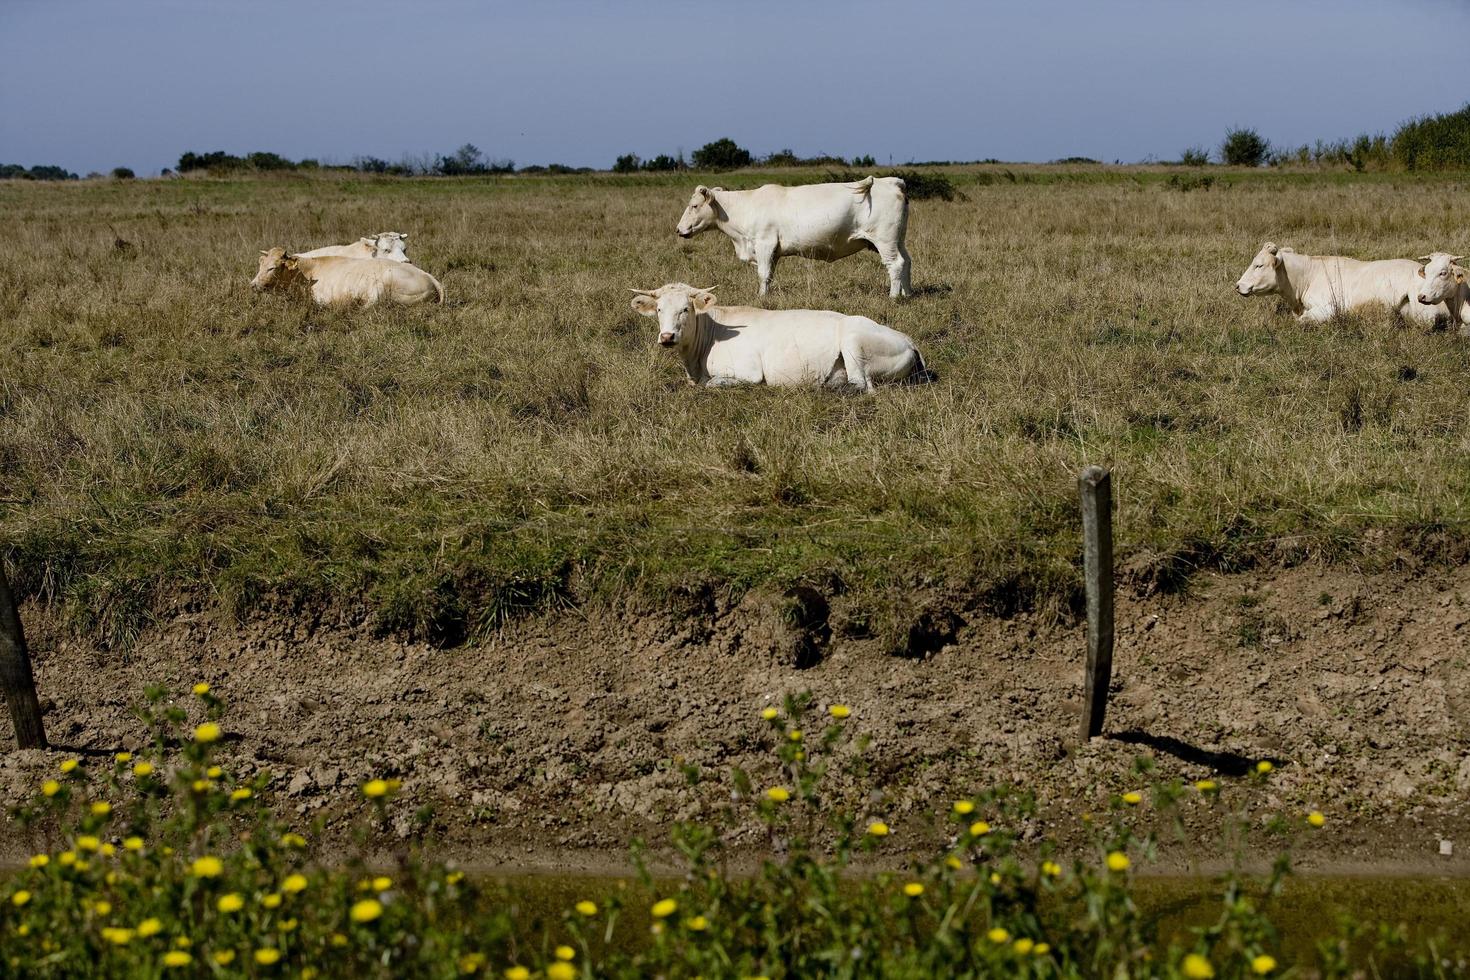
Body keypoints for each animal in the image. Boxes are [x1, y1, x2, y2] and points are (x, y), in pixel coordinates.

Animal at [629, 279, 929, 390]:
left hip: (853, 341)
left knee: (861, 385)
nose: (667, 337)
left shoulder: (748, 371)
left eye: (685, 309)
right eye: (659, 309)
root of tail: (909, 340)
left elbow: (713, 383)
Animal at [673, 177, 905, 296]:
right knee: (907, 262)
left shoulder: (765, 243)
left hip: (885, 239)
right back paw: (907, 293)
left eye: (694, 206)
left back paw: (893, 297)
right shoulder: (773, 251)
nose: (678, 229)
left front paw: (761, 298)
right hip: (897, 240)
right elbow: (769, 275)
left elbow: (762, 274)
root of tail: (888, 181)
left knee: (895, 265)